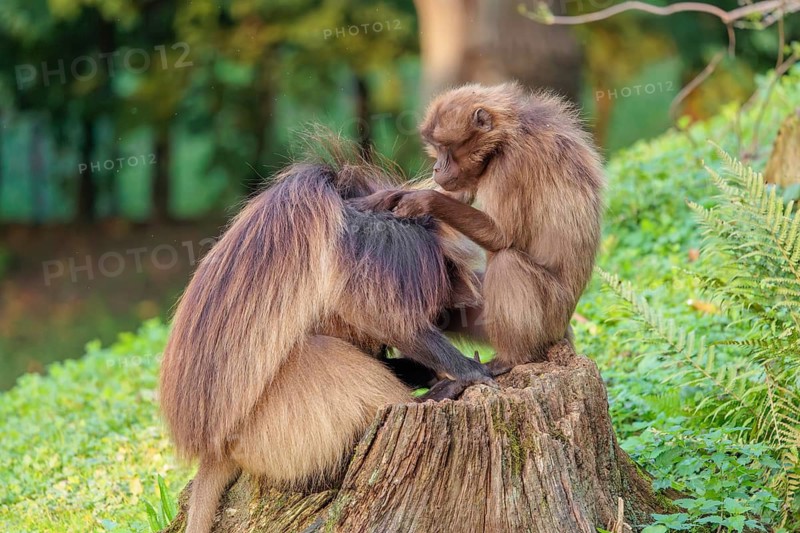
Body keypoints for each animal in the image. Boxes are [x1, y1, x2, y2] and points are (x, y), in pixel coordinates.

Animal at [159, 134, 494, 533]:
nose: (468, 295)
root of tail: (214, 450)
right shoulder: (387, 244)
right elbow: (378, 314)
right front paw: (469, 371)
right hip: (267, 431)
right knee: (325, 352)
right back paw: (432, 394)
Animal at [360, 82, 604, 383]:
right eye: (437, 149)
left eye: (446, 147)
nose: (437, 168)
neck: (508, 134)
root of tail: (564, 331)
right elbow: (460, 195)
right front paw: (387, 197)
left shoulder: (511, 165)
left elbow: (502, 237)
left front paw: (422, 201)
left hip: (551, 316)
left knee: (507, 262)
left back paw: (512, 358)